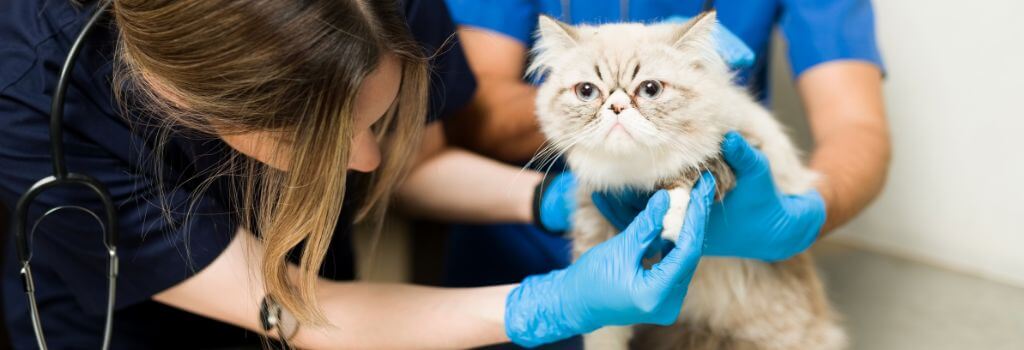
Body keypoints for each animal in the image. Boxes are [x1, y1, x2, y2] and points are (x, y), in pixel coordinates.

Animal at [528, 11, 847, 350]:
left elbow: (691, 174)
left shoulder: (739, 149)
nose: (616, 107)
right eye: (587, 91)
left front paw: (672, 218)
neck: (636, 177)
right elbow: (602, 319)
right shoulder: (593, 215)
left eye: (650, 89)